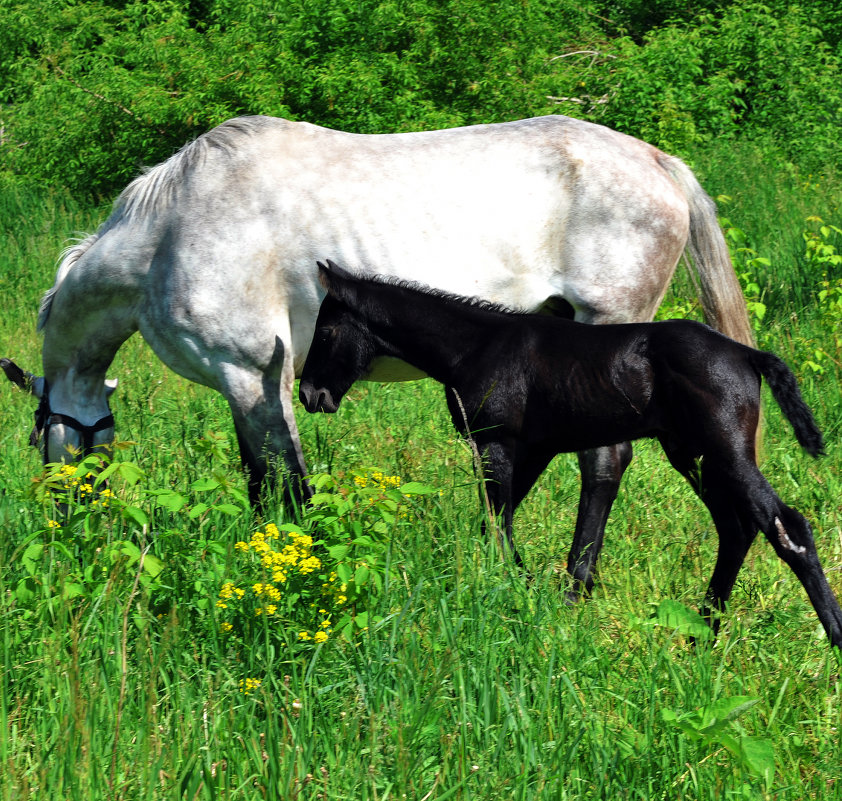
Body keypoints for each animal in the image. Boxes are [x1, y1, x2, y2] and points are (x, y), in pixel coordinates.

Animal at [1, 114, 748, 580]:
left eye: (43, 439)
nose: (67, 524)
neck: (172, 229)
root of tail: (660, 163)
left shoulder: (251, 374)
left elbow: (279, 485)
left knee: (604, 461)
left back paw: (577, 580)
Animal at [296, 260, 840, 648]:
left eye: (325, 332)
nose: (310, 395)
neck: (477, 346)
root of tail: (748, 354)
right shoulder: (534, 449)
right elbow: (497, 521)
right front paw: (530, 590)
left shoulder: (496, 442)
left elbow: (498, 521)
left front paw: (521, 589)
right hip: (691, 453)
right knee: (737, 527)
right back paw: (702, 634)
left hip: (724, 449)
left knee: (786, 525)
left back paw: (831, 634)